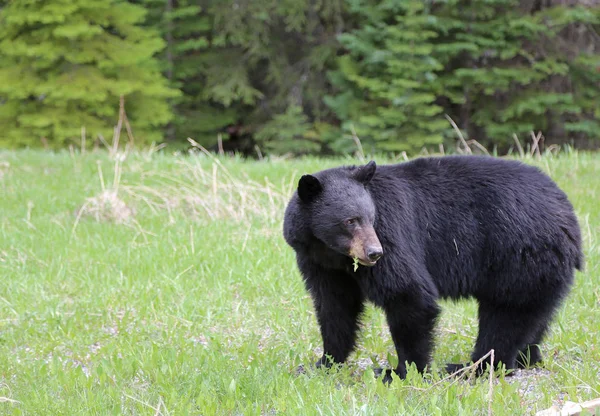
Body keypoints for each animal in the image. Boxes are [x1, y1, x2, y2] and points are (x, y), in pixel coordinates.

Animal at [284, 155, 584, 380]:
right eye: (350, 221)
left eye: (371, 217)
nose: (374, 253)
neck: (333, 252)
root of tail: (569, 215)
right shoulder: (319, 264)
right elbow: (335, 307)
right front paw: (324, 363)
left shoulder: (392, 233)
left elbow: (408, 294)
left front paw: (401, 371)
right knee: (536, 315)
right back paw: (527, 358)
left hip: (519, 252)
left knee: (505, 315)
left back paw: (470, 367)